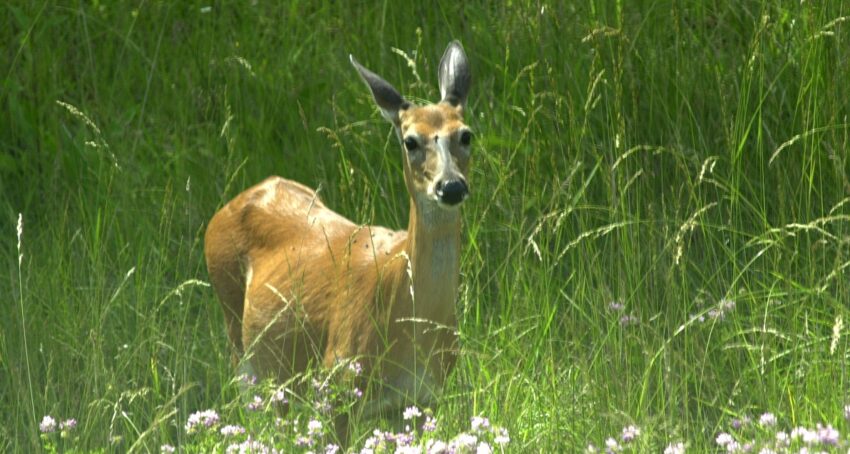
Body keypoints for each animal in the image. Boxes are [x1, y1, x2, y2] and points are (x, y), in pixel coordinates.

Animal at [203, 41, 472, 429]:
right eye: (410, 141)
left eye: (466, 135)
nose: (451, 186)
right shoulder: (337, 384)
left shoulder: (424, 399)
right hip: (239, 339)